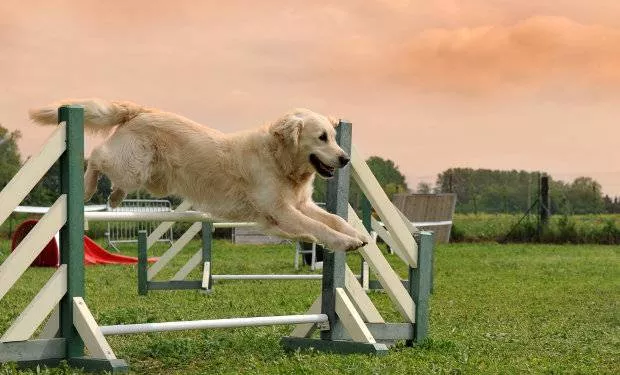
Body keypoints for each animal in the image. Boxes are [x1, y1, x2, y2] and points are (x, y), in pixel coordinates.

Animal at [30, 100, 368, 253]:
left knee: (114, 175)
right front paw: (344, 242)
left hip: (150, 178)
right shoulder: (281, 208)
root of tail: (141, 111)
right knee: (98, 156)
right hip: (132, 164)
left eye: (335, 136)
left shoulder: (298, 205)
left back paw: (114, 197)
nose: (345, 158)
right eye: (321, 137)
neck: (279, 159)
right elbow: (317, 226)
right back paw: (88, 188)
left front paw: (357, 234)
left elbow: (331, 219)